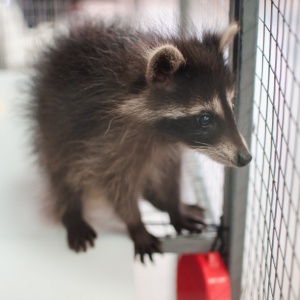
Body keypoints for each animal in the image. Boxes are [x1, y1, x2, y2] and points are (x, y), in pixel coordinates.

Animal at [29, 20, 251, 262]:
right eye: (205, 119)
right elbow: (116, 184)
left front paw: (173, 206)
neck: (161, 134)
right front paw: (136, 225)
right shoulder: (104, 141)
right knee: (61, 173)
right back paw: (71, 211)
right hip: (51, 128)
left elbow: (170, 174)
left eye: (231, 105)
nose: (246, 157)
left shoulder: (169, 148)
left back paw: (155, 198)